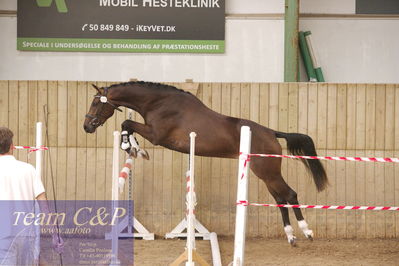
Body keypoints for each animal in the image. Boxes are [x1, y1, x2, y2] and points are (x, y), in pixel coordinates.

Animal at [83, 81, 328, 245]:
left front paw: (133, 147)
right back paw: (290, 236)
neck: (158, 103)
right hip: (265, 174)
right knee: (280, 199)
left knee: (290, 195)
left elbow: (127, 123)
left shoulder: (156, 135)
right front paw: (134, 147)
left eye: (95, 102)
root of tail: (271, 133)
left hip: (268, 172)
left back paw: (306, 232)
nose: (87, 127)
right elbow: (127, 125)